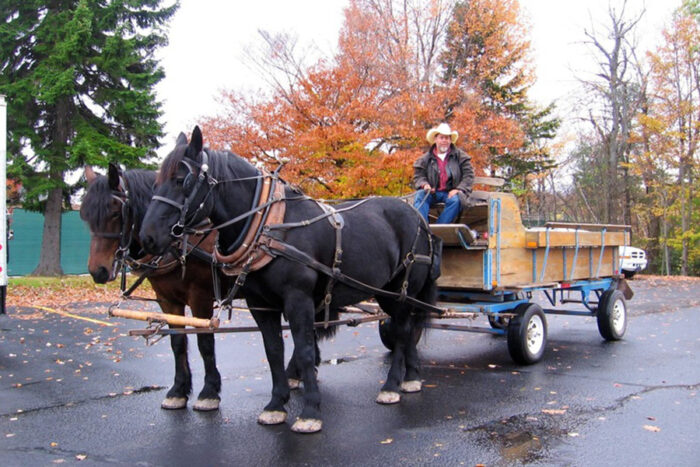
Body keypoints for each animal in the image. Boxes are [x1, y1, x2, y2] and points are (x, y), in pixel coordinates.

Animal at [139, 126, 440, 434]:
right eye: (156, 183)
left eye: (181, 180)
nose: (147, 238)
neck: (268, 224)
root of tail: (419, 217)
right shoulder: (260, 304)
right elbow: (273, 351)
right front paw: (276, 405)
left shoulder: (298, 300)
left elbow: (305, 350)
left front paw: (310, 411)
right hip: (387, 292)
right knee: (408, 329)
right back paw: (411, 378)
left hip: (401, 291)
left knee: (403, 331)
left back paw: (391, 385)